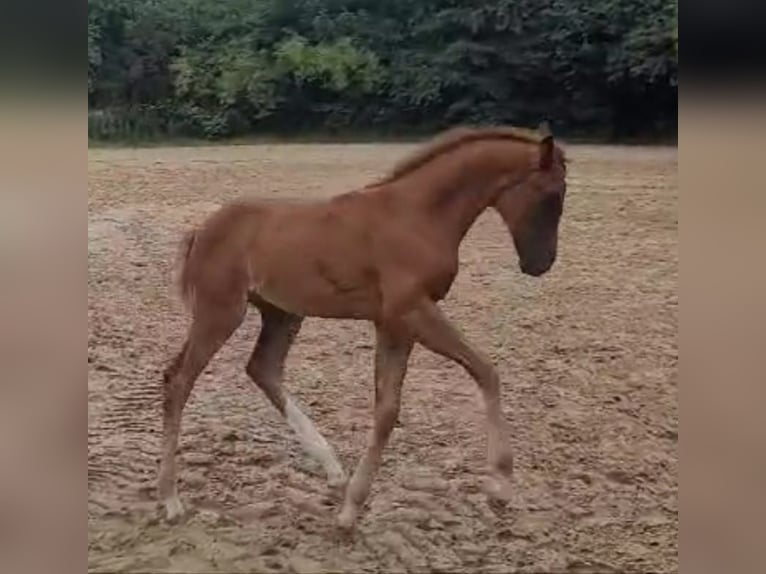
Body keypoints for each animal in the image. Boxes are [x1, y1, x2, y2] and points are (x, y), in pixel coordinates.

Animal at [158, 122, 564, 532]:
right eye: (551, 196)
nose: (540, 264)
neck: (417, 215)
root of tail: (201, 229)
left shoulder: (393, 323)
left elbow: (386, 410)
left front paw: (352, 506)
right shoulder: (412, 311)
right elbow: (485, 371)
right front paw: (501, 482)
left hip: (282, 313)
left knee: (263, 368)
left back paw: (333, 468)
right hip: (221, 312)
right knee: (179, 380)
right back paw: (171, 499)